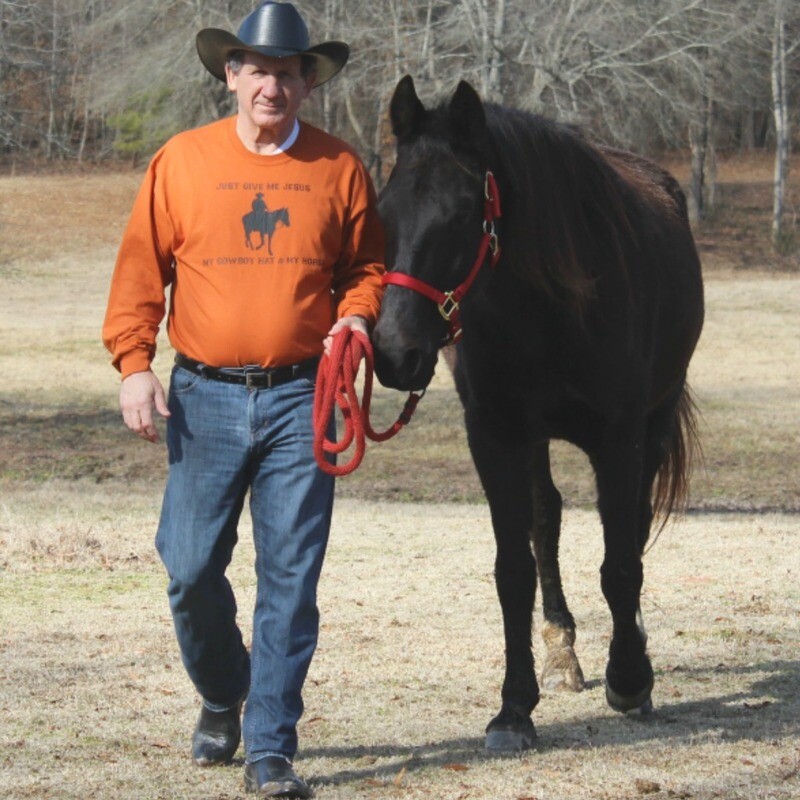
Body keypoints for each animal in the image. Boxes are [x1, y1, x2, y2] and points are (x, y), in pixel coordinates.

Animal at [372, 76, 704, 752]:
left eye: (462, 214)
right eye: (385, 212)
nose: (396, 353)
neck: (550, 309)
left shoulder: (620, 438)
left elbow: (620, 562)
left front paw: (629, 678)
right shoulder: (496, 436)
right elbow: (514, 568)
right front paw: (513, 707)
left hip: (654, 424)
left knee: (631, 526)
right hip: (537, 439)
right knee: (546, 519)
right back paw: (562, 651)